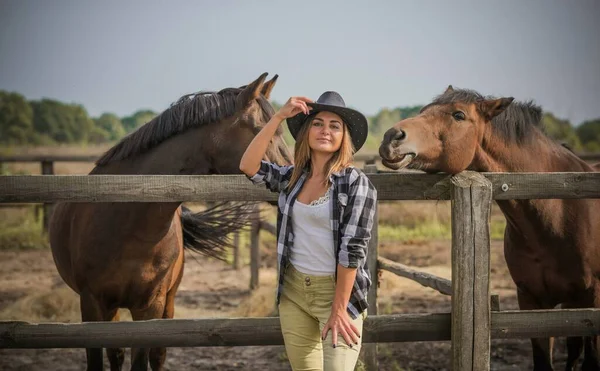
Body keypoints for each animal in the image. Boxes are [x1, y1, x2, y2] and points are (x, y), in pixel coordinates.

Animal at [48, 73, 292, 371]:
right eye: (263, 131)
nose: (296, 172)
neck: (125, 222)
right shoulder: (91, 304)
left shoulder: (150, 306)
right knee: (116, 353)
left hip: (167, 301)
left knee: (154, 354)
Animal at [380, 85, 600, 370]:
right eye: (422, 111)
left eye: (459, 115)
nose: (391, 137)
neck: (559, 211)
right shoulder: (532, 301)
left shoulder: (592, 301)